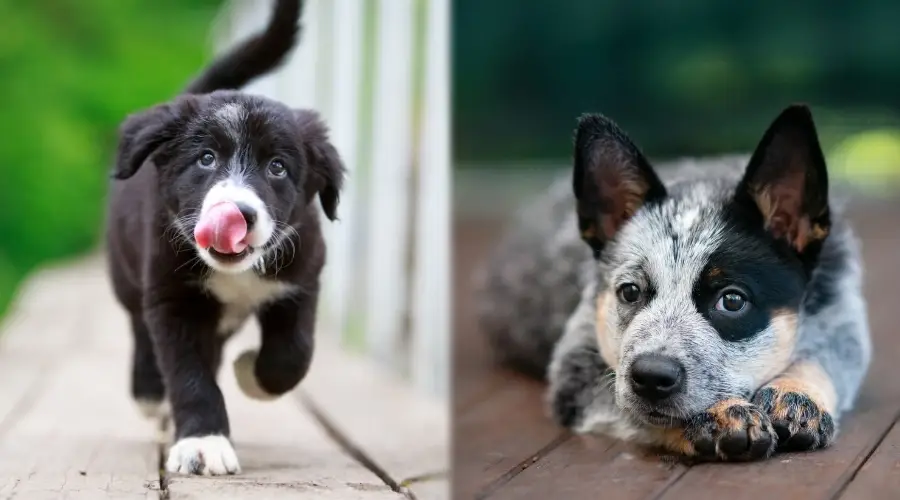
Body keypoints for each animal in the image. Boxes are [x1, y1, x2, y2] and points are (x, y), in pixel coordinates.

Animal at [105, 0, 344, 476]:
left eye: (277, 167)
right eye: (206, 159)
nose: (237, 215)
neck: (235, 272)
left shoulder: (301, 280)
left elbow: (294, 353)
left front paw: (250, 372)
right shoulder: (172, 299)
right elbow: (189, 375)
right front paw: (203, 442)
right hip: (126, 276)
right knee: (140, 330)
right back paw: (150, 393)